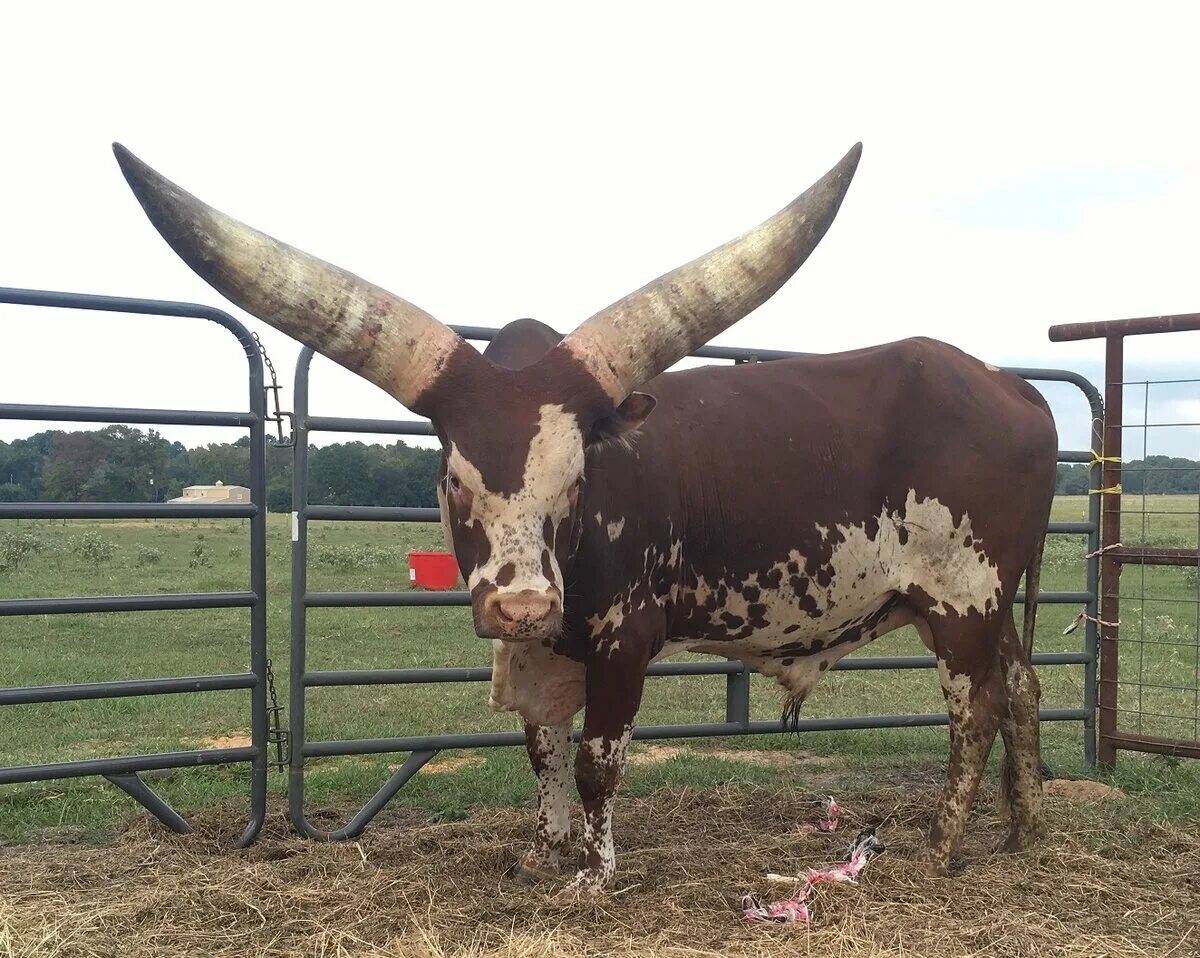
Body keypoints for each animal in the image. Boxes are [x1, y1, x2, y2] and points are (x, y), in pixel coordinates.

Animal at [112, 142, 1051, 893]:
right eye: (455, 481)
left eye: (576, 482)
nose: (522, 603)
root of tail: (1010, 385)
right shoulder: (539, 650)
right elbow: (542, 747)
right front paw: (548, 849)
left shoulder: (623, 638)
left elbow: (599, 761)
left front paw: (594, 874)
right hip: (990, 599)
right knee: (1023, 689)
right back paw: (1023, 832)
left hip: (961, 595)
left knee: (973, 708)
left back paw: (942, 845)